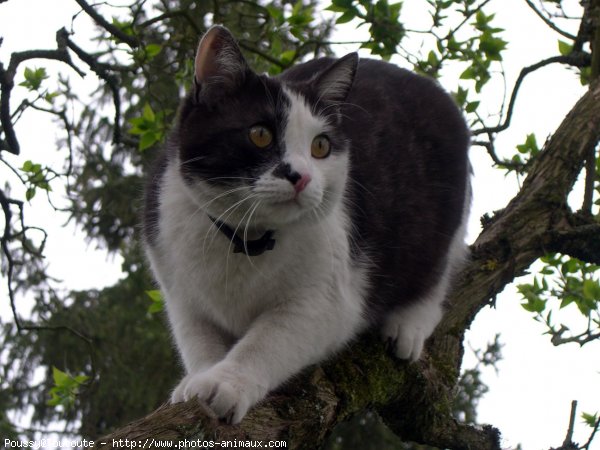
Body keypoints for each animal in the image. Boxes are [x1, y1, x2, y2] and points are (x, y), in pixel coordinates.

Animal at [143, 25, 472, 426]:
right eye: (260, 134)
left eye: (320, 146)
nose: (301, 177)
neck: (245, 239)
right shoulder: (181, 295)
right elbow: (200, 342)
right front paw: (198, 380)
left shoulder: (328, 300)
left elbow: (267, 341)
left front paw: (227, 383)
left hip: (439, 222)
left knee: (434, 276)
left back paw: (408, 325)